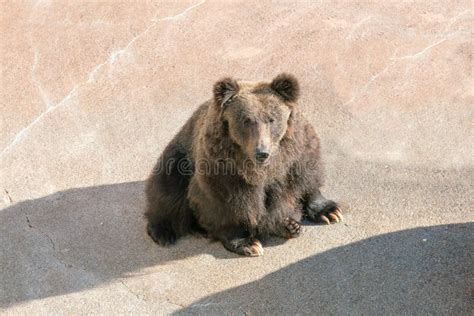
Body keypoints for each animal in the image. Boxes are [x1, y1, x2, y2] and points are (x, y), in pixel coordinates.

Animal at [144, 73, 340, 256]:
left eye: (271, 119)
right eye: (247, 120)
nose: (262, 152)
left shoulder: (298, 153)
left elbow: (307, 179)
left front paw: (330, 212)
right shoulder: (223, 168)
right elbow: (226, 202)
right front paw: (248, 243)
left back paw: (290, 225)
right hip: (178, 160)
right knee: (168, 192)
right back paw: (163, 232)